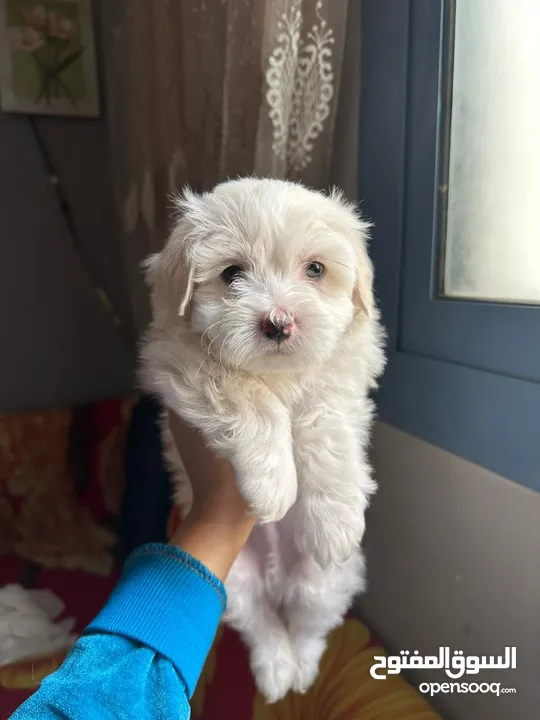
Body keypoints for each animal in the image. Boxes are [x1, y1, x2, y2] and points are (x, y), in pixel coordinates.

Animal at [139, 177, 384, 700]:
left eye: (316, 269)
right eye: (232, 273)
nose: (279, 322)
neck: (279, 372)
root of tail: (277, 578)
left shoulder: (341, 372)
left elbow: (323, 420)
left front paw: (334, 520)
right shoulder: (183, 364)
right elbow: (250, 400)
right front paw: (272, 487)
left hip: (326, 580)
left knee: (310, 624)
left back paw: (302, 669)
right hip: (233, 581)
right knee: (262, 624)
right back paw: (276, 669)